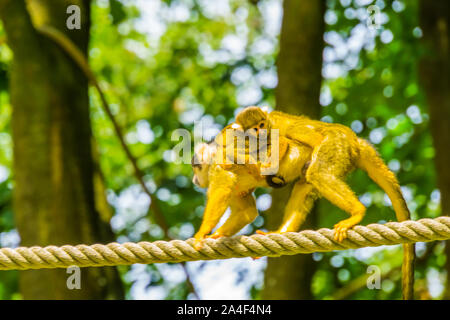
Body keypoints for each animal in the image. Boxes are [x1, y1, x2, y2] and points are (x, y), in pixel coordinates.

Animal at [236, 106, 414, 298]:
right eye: (255, 128)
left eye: (262, 125)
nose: (261, 131)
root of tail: (355, 140)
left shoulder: (278, 126)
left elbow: (303, 139)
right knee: (305, 184)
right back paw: (283, 231)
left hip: (338, 144)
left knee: (317, 170)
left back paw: (357, 211)